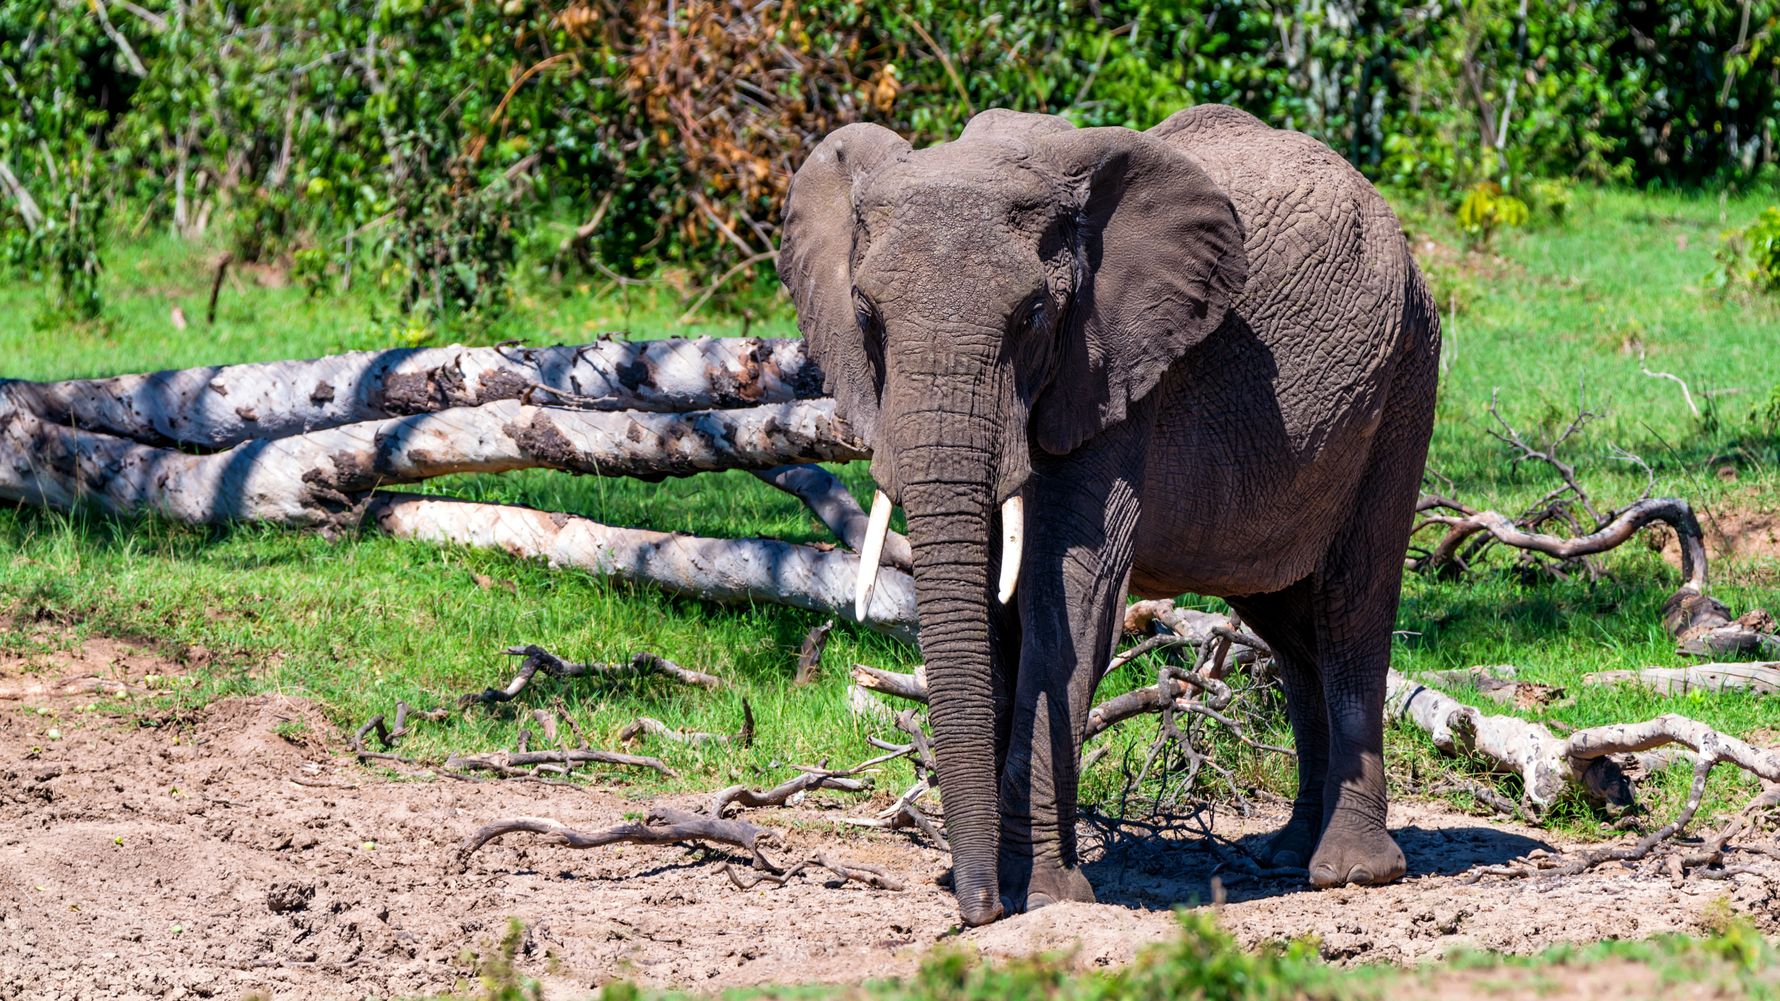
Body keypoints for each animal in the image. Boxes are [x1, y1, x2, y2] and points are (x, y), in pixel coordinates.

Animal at [777, 104, 1440, 927]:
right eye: (867, 316)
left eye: (1033, 315)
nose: (975, 910)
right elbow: (996, 609)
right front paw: (1010, 884)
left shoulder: (1108, 377)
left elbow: (1067, 599)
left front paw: (1043, 897)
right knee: (1285, 618)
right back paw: (1285, 852)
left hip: (1405, 376)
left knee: (1353, 602)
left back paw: (1349, 871)